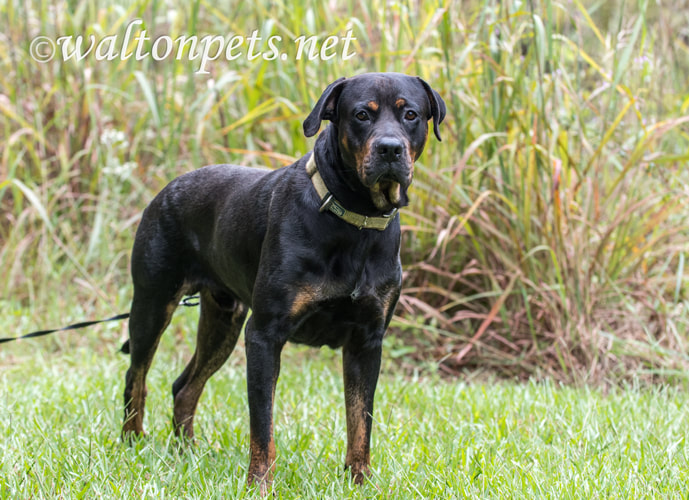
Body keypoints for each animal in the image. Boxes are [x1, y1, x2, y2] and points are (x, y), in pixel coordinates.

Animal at [122, 71, 446, 488]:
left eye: (411, 114)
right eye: (361, 114)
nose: (389, 149)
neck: (354, 219)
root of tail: (166, 189)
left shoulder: (367, 341)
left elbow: (361, 421)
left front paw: (359, 481)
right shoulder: (264, 334)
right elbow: (263, 425)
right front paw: (259, 483)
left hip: (223, 322)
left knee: (184, 386)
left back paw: (186, 452)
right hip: (153, 303)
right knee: (137, 376)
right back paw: (133, 443)